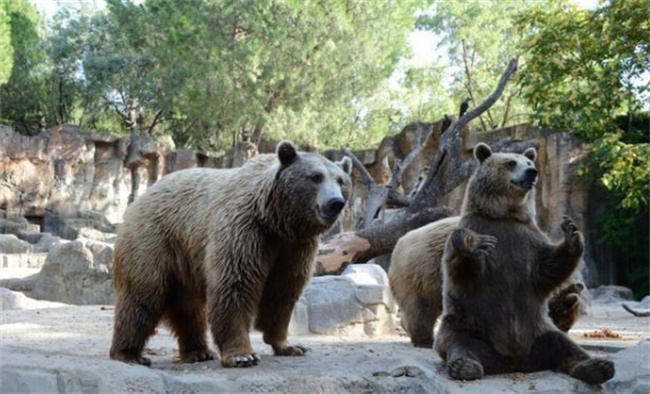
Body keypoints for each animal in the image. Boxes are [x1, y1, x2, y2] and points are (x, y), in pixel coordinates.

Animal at [108, 142, 350, 370]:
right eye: (316, 177)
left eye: (341, 180)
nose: (335, 203)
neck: (276, 219)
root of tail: (140, 198)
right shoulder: (244, 229)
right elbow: (235, 284)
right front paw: (243, 355)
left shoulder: (295, 247)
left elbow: (283, 291)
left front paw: (289, 346)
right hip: (153, 241)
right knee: (142, 297)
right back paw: (129, 354)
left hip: (184, 259)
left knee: (188, 308)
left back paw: (198, 351)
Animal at [432, 143, 612, 384]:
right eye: (511, 163)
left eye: (529, 162)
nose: (531, 173)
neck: (505, 215)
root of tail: (514, 361)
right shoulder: (482, 229)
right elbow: (464, 272)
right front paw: (474, 243)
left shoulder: (528, 240)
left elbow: (548, 268)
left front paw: (572, 233)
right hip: (468, 325)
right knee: (458, 343)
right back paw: (465, 366)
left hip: (539, 331)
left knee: (564, 345)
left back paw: (599, 366)